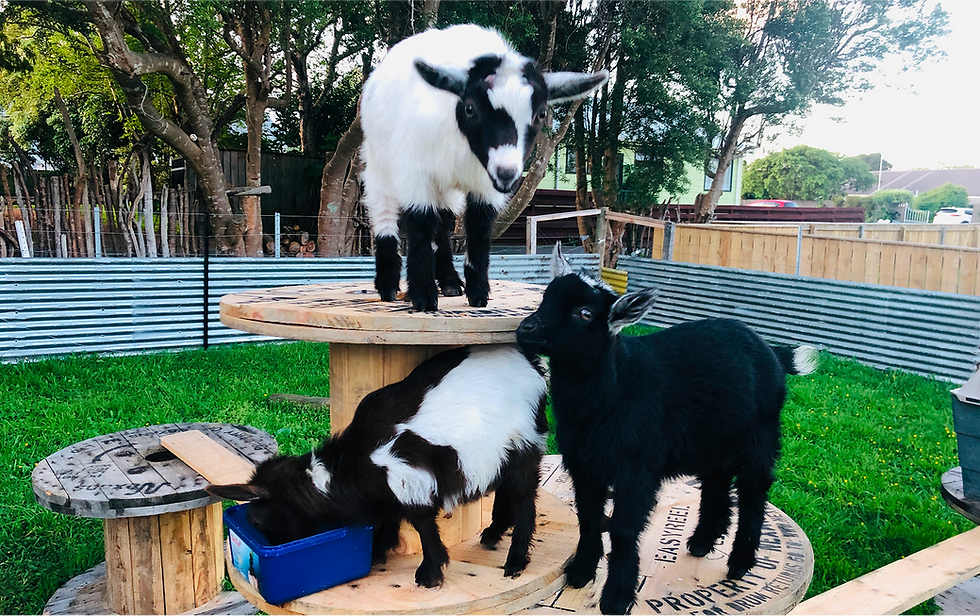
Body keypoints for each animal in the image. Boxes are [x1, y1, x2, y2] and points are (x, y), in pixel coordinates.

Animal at [207, 345, 549, 589]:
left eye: (258, 520)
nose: (271, 550)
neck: (353, 466)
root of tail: (533, 365)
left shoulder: (409, 477)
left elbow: (421, 523)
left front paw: (429, 574)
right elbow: (389, 518)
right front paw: (378, 551)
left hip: (524, 443)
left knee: (524, 500)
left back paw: (515, 561)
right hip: (504, 453)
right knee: (506, 491)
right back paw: (492, 534)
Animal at [360, 24, 607, 312]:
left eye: (541, 114)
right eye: (470, 108)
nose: (507, 173)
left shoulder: (485, 185)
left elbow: (478, 226)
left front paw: (478, 292)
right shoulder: (414, 171)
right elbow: (420, 223)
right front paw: (423, 296)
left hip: (445, 185)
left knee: (443, 220)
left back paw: (449, 282)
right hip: (378, 160)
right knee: (384, 211)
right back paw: (388, 285)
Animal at [514, 246, 818, 616]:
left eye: (584, 314)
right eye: (546, 296)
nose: (526, 328)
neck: (617, 390)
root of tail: (770, 349)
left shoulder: (637, 469)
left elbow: (623, 529)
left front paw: (617, 597)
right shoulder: (583, 464)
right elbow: (588, 517)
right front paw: (580, 572)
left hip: (761, 434)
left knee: (753, 491)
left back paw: (741, 561)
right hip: (714, 438)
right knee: (716, 481)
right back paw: (703, 540)